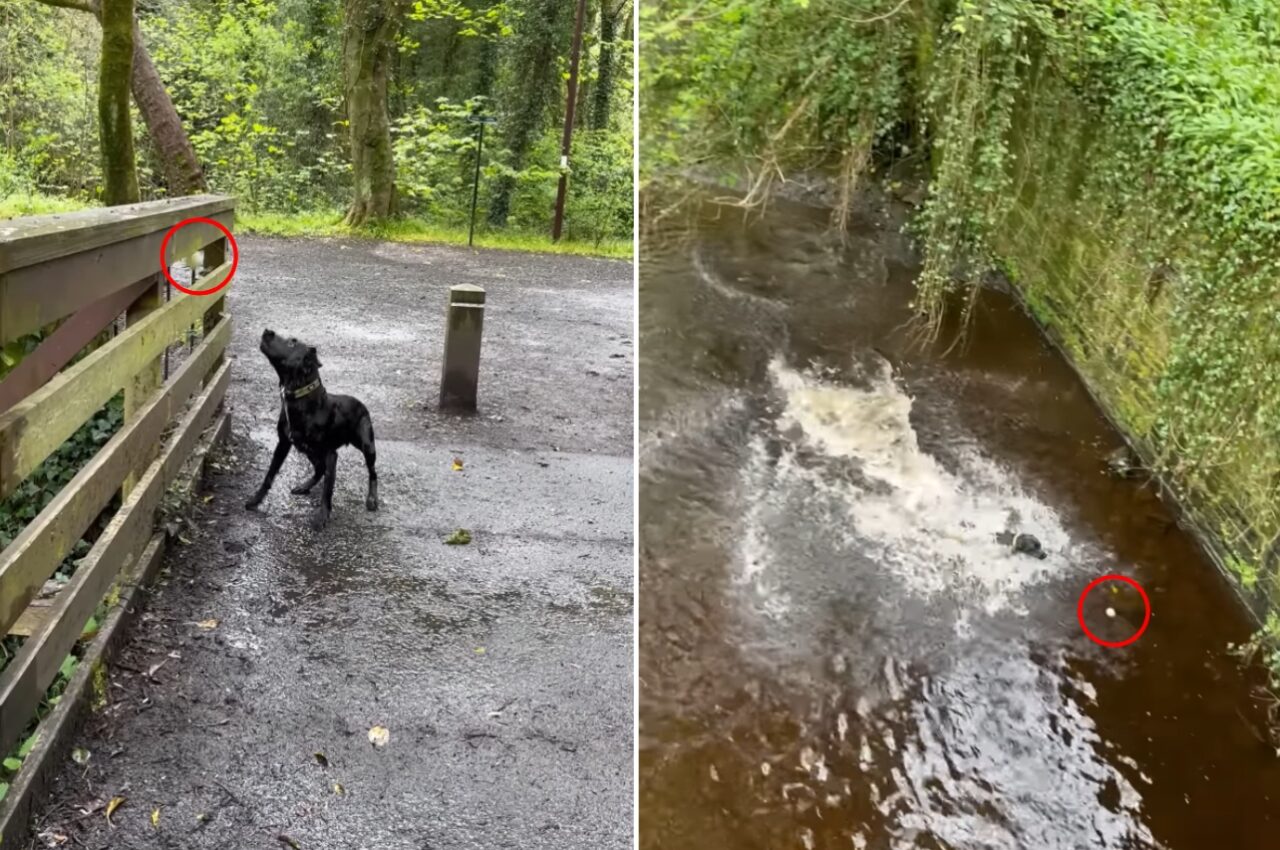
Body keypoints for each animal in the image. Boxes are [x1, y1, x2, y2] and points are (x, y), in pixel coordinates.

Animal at [243, 327, 373, 527]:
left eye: (292, 343)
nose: (268, 330)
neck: (301, 399)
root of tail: (360, 403)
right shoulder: (283, 444)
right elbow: (269, 475)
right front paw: (256, 500)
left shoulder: (331, 454)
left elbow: (328, 489)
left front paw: (322, 515)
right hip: (308, 451)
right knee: (318, 470)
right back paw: (304, 486)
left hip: (367, 446)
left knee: (373, 473)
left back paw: (373, 499)